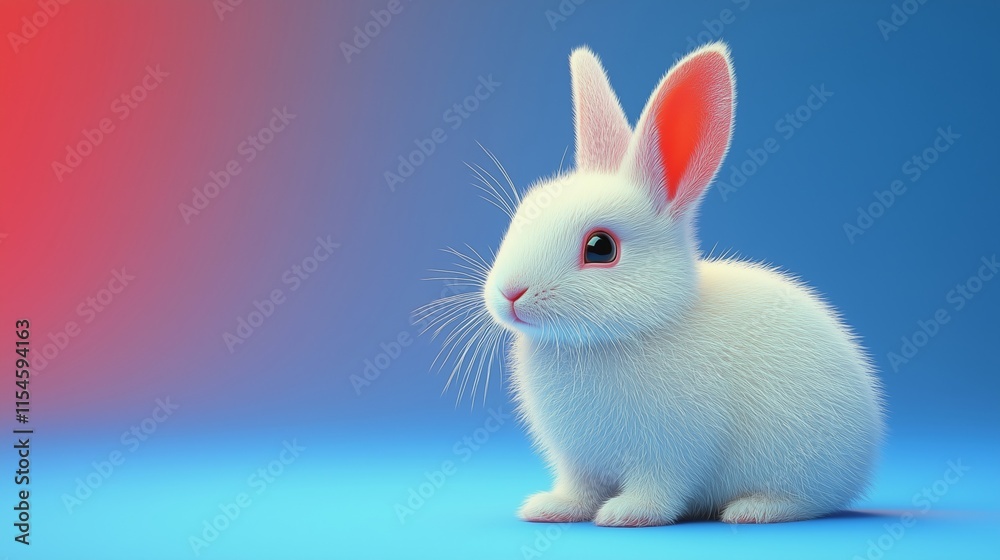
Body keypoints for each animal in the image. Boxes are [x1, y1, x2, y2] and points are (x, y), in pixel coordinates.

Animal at [474, 43, 885, 527]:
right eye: (524, 213)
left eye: (600, 247)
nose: (509, 294)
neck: (606, 339)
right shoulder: (577, 462)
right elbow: (579, 489)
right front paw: (550, 508)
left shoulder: (670, 454)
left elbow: (659, 489)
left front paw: (626, 514)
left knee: (810, 502)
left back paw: (751, 509)